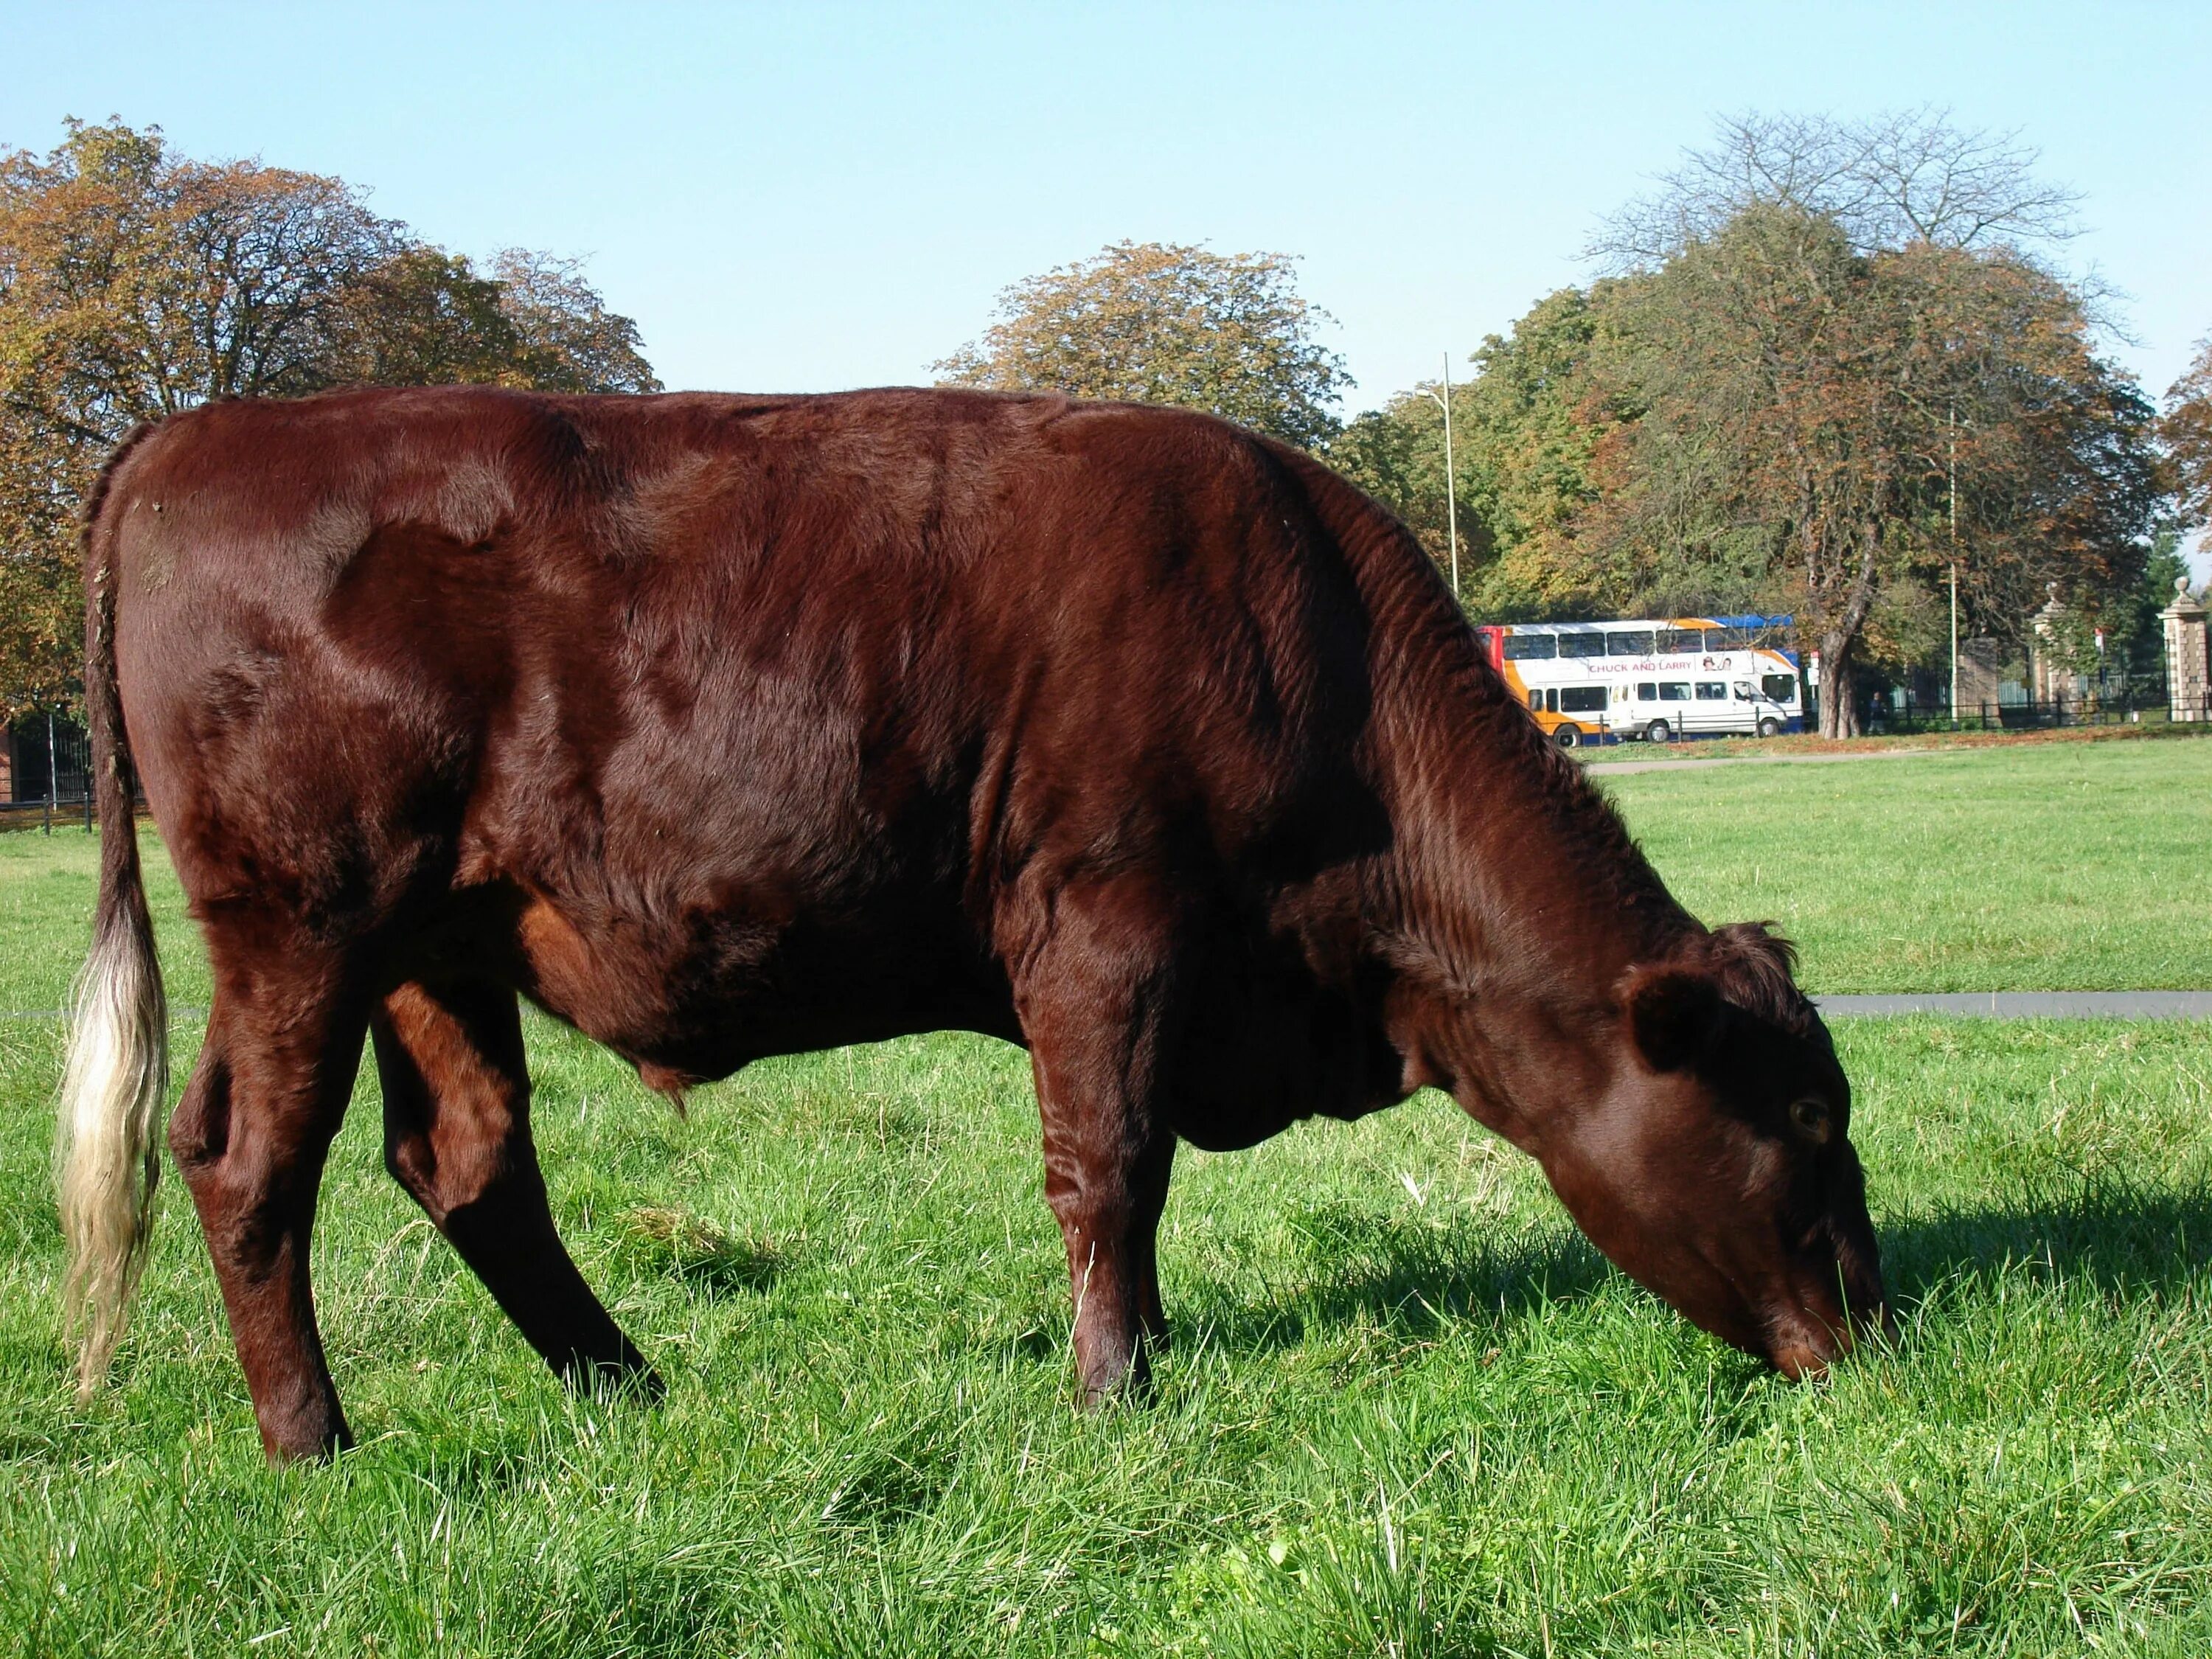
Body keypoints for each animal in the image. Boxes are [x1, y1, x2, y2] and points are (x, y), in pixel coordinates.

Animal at [56, 383, 1885, 1460]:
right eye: (1801, 1116)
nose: (1874, 1325)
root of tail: (198, 434)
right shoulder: (1103, 920)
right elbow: (1111, 1166)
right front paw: (1115, 1387)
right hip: (304, 917)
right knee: (245, 1163)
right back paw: (315, 1440)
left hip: (442, 942)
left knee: (468, 1162)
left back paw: (624, 1385)